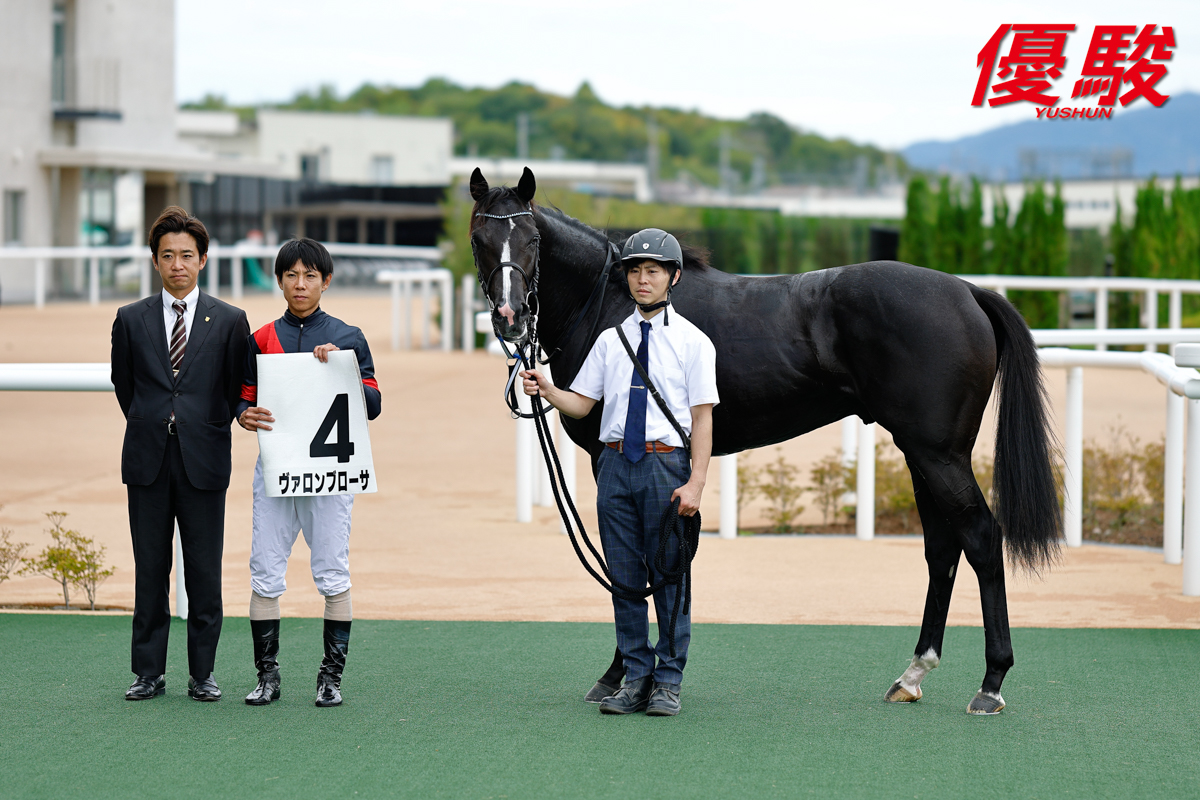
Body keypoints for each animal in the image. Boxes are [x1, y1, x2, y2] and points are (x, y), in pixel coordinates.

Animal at [468, 167, 1060, 715]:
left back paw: (991, 683)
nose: (510, 316)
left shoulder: (604, 458)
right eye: (479, 237)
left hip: (939, 454)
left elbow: (629, 563)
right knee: (942, 547)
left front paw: (617, 677)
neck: (614, 305)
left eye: (532, 238)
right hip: (921, 453)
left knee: (980, 536)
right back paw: (912, 674)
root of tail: (968, 291)